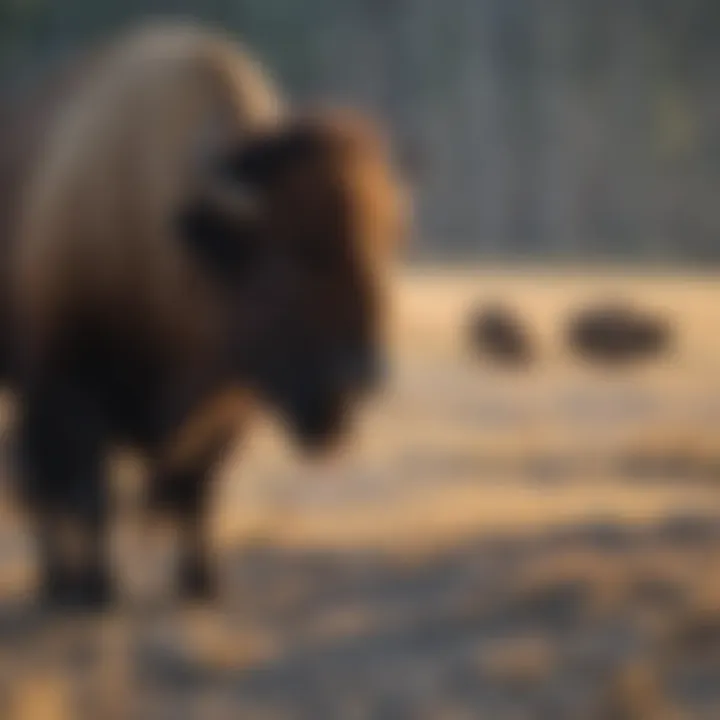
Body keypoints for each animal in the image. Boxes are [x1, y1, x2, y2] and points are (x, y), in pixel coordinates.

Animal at [0, 22, 408, 612]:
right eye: (295, 253)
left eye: (388, 242)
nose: (364, 372)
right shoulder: (69, 385)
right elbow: (90, 493)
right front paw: (99, 587)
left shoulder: (227, 402)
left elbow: (198, 488)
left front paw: (202, 582)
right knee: (40, 480)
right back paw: (60, 579)